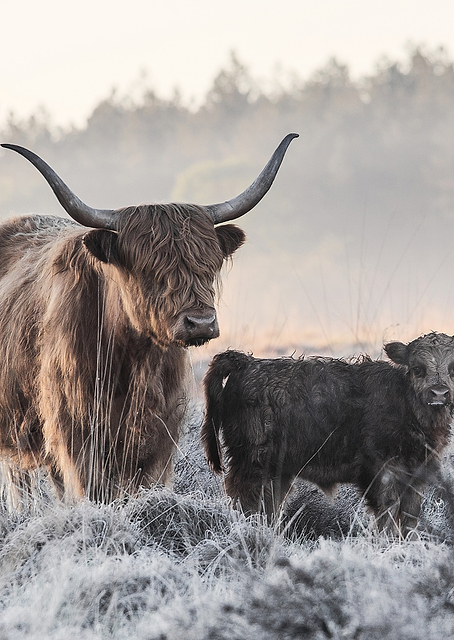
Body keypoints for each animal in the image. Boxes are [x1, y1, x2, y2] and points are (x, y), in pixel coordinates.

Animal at [0, 133, 298, 504]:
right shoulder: (76, 431)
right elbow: (90, 489)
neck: (134, 360)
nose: (201, 323)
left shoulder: (160, 434)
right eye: (148, 270)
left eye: (209, 266)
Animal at [202, 333, 454, 536]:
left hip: (276, 472)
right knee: (245, 502)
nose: (439, 393)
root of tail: (247, 363)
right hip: (251, 462)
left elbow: (410, 518)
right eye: (418, 369)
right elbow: (388, 516)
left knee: (270, 506)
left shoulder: (418, 474)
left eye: (452, 369)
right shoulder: (383, 473)